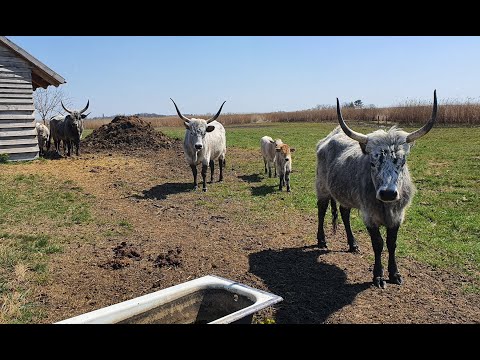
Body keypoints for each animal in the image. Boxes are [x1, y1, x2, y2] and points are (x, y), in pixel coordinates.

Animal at [316, 90, 438, 290]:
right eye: (372, 163)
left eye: (402, 162)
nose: (388, 193)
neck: (386, 206)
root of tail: (330, 136)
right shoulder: (370, 216)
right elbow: (378, 244)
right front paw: (378, 276)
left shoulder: (397, 216)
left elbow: (392, 243)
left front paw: (395, 274)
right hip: (322, 188)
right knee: (321, 210)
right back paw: (321, 240)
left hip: (345, 194)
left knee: (344, 213)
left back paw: (352, 244)